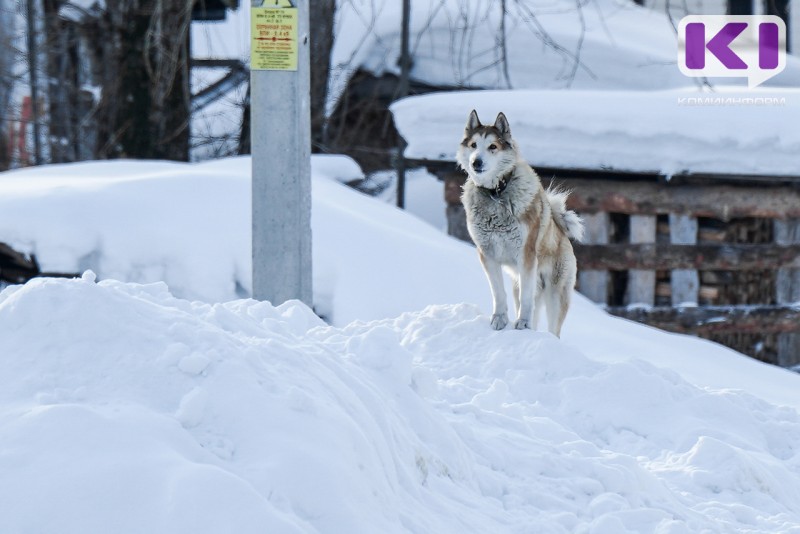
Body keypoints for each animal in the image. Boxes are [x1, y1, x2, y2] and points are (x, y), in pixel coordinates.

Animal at [460, 109, 584, 340]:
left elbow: (527, 301)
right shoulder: (487, 254)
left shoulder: (526, 255)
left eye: (493, 146)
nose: (476, 162)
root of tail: (563, 235)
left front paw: (522, 324)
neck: (496, 193)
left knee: (553, 328)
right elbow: (498, 292)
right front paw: (499, 320)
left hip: (555, 294)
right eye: (473, 145)